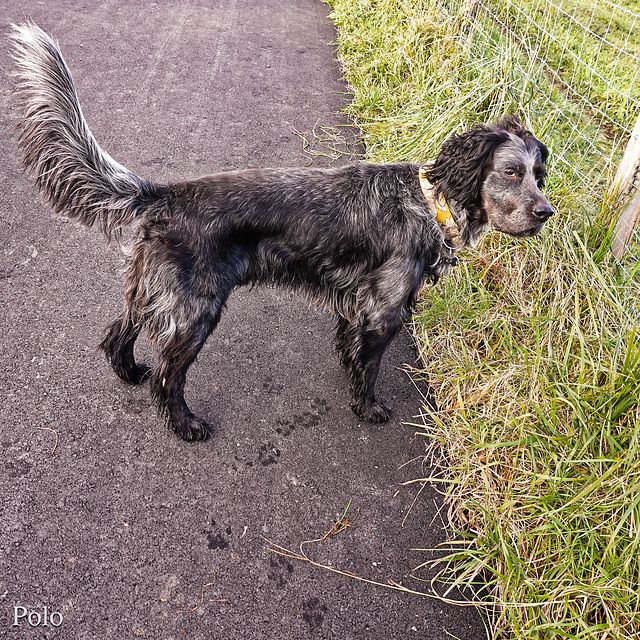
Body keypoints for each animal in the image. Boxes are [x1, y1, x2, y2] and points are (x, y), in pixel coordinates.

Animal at [10, 21, 552, 440]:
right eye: (510, 172)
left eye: (540, 175)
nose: (546, 212)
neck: (427, 202)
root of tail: (166, 194)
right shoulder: (384, 313)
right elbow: (370, 368)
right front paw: (368, 409)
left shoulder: (355, 307)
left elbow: (351, 354)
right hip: (195, 311)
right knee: (167, 378)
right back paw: (186, 426)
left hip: (149, 290)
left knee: (117, 337)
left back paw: (129, 372)